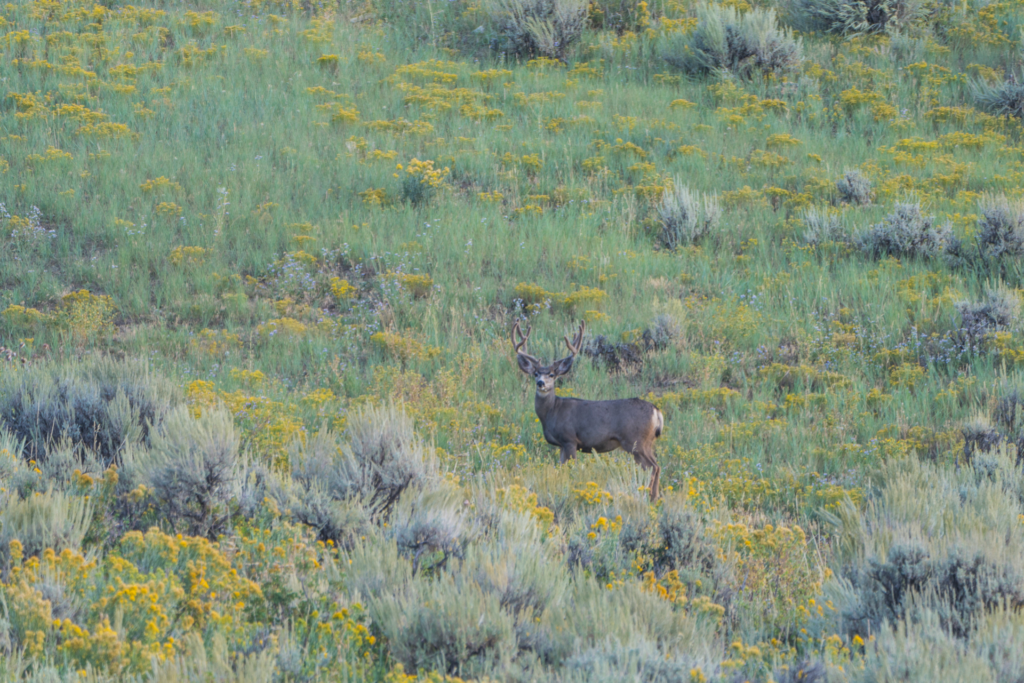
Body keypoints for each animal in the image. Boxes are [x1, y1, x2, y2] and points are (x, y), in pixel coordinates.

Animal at [512, 320, 664, 501]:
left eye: (552, 375)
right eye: (535, 373)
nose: (541, 383)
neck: (552, 412)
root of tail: (656, 411)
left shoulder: (570, 439)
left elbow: (572, 468)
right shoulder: (562, 445)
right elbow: (561, 468)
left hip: (635, 441)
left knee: (652, 467)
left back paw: (649, 497)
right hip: (648, 443)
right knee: (657, 466)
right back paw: (655, 498)